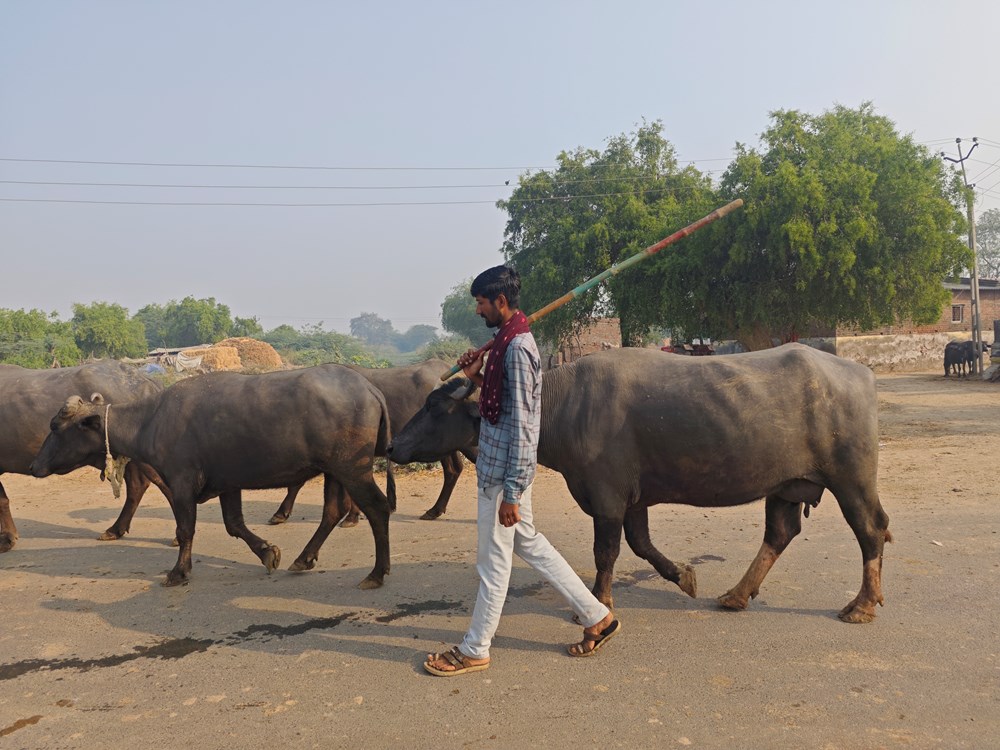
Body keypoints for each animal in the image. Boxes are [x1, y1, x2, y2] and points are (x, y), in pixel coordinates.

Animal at [32, 368, 390, 592]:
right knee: (332, 512)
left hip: (352, 468)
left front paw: (178, 571)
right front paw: (267, 552)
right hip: (334, 471)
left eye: (55, 427)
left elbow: (185, 529)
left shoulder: (181, 482)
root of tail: (369, 388)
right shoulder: (229, 484)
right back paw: (303, 559)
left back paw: (376, 573)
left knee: (377, 507)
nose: (35, 465)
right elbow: (234, 524)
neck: (151, 420)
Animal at [388, 346, 892, 624]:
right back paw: (736, 594)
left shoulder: (608, 497)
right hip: (787, 485)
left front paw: (598, 600)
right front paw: (683, 575)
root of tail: (859, 372)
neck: (561, 405)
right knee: (780, 533)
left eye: (435, 407)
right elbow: (642, 544)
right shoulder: (633, 499)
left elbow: (607, 552)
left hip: (851, 479)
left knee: (871, 529)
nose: (392, 445)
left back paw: (863, 604)